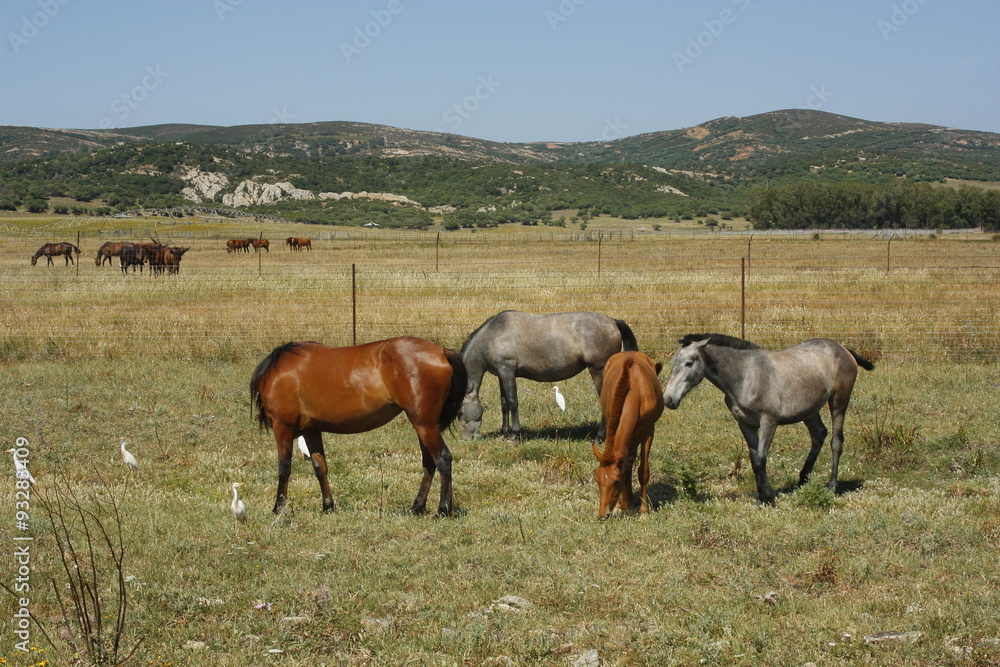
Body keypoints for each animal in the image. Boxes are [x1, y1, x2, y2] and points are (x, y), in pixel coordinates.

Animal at [250, 337, 467, 516]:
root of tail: (441, 351)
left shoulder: (283, 428)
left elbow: (284, 469)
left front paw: (278, 507)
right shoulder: (311, 431)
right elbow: (320, 468)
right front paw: (328, 506)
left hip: (424, 424)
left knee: (442, 458)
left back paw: (443, 509)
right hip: (424, 425)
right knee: (429, 463)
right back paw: (417, 507)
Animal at [457, 310, 639, 440]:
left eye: (459, 412)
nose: (466, 439)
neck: (492, 335)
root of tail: (613, 321)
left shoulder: (507, 370)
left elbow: (513, 403)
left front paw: (514, 435)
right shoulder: (501, 375)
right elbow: (504, 405)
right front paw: (504, 433)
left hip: (598, 370)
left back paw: (599, 437)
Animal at [592, 351, 664, 519]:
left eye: (616, 481)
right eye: (597, 478)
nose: (603, 514)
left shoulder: (648, 431)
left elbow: (643, 471)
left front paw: (643, 510)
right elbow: (626, 465)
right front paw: (624, 505)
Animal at [662, 333, 874, 505]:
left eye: (689, 362)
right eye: (672, 364)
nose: (668, 399)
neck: (745, 375)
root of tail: (843, 348)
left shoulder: (768, 422)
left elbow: (760, 459)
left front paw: (769, 498)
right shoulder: (745, 424)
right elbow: (754, 459)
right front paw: (762, 496)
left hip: (839, 402)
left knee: (836, 441)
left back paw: (832, 485)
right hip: (810, 409)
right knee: (819, 434)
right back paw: (802, 479)